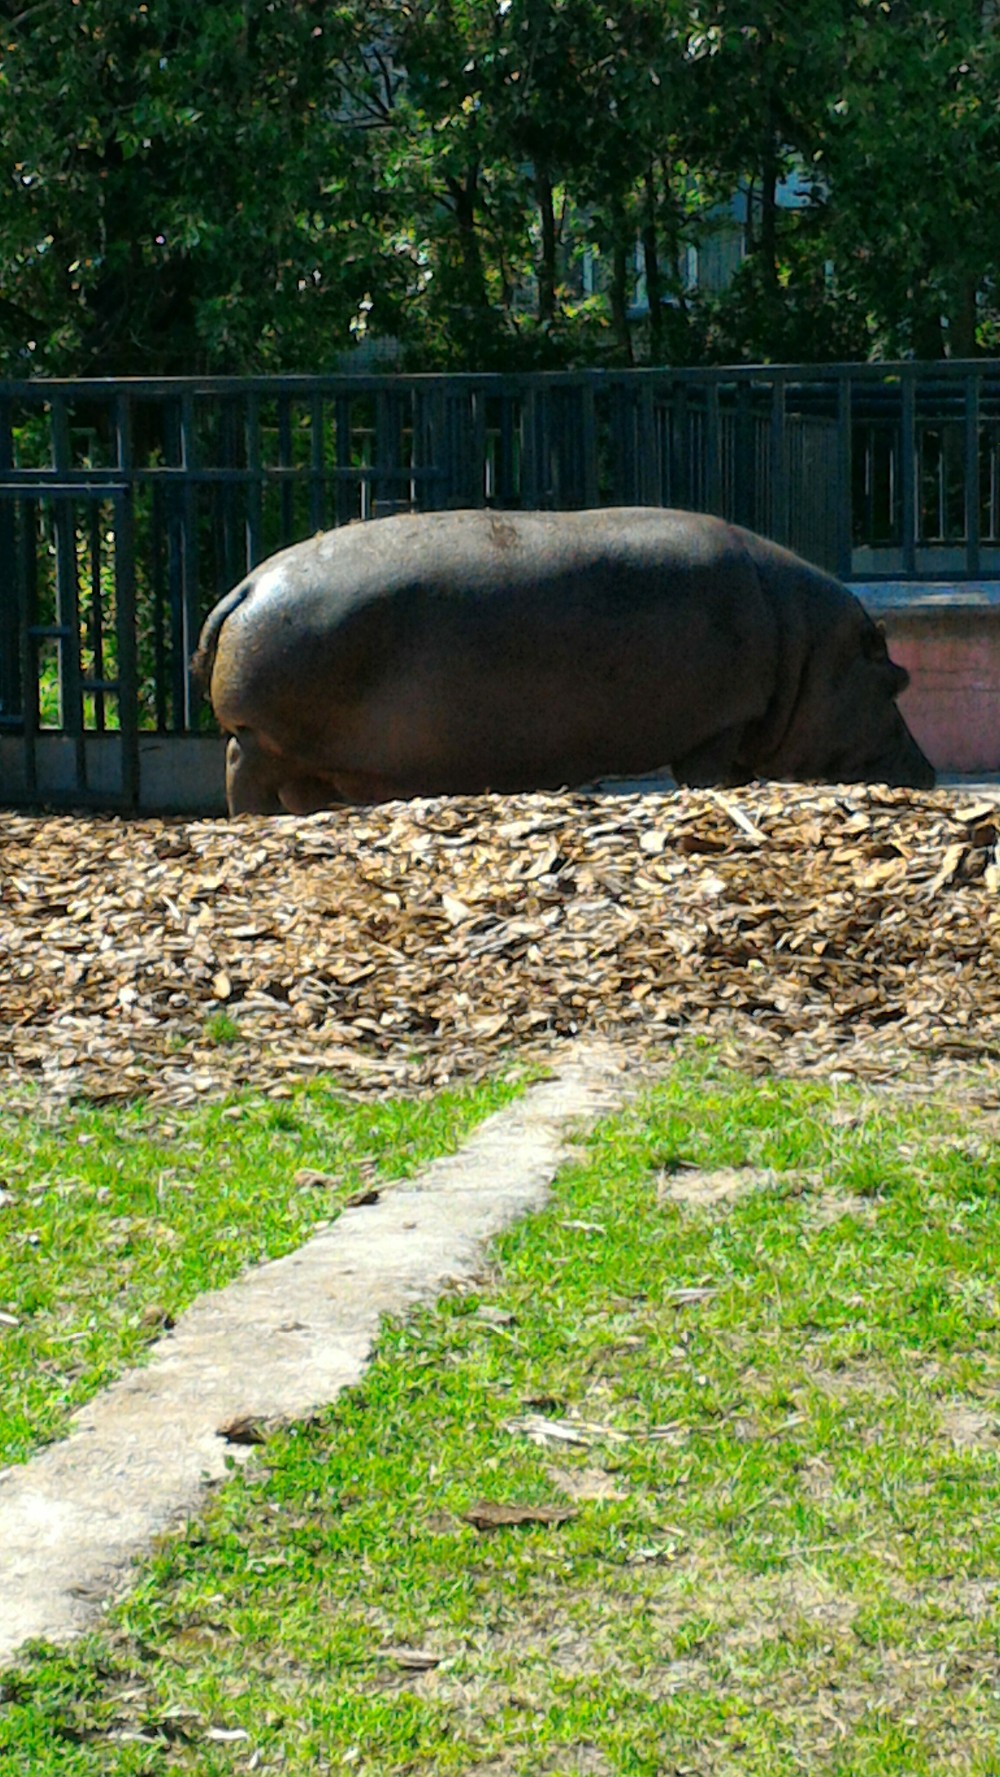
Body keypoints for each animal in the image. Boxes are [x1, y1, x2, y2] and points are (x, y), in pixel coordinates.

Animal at [193, 508, 937, 813]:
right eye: (895, 681)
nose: (928, 772)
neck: (805, 646)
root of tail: (246, 585)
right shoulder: (718, 727)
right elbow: (711, 775)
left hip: (304, 751)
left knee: (298, 786)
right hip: (263, 741)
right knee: (241, 774)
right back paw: (256, 822)